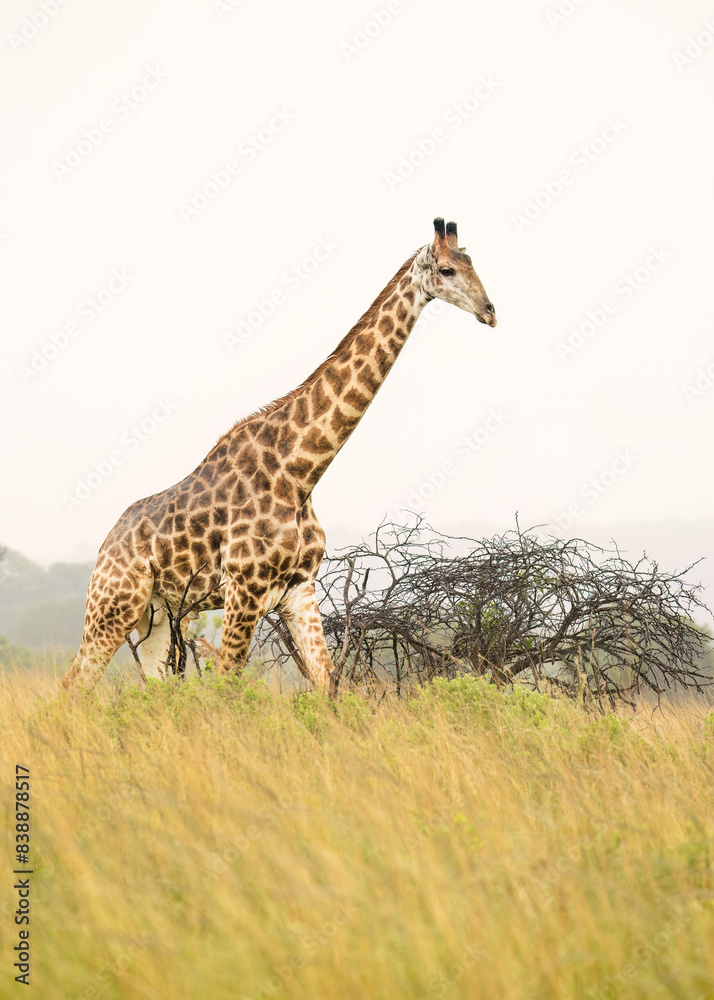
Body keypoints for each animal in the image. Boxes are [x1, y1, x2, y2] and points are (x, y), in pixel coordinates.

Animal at [62, 217, 496, 693]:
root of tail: (105, 545)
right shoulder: (244, 589)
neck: (301, 472)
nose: (490, 311)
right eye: (448, 270)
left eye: (473, 263)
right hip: (113, 605)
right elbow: (229, 683)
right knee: (74, 682)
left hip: (156, 615)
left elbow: (328, 683)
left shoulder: (299, 591)